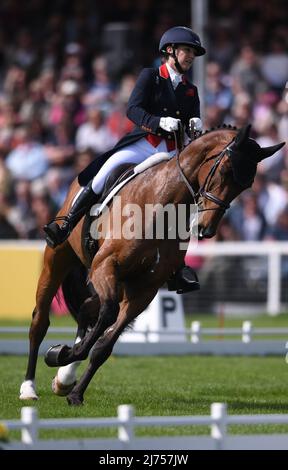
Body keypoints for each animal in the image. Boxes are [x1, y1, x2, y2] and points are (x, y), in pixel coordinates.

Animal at [19, 125, 284, 404]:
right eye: (224, 170)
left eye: (246, 185)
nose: (207, 229)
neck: (164, 204)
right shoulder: (105, 266)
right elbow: (107, 316)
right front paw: (60, 353)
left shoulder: (143, 289)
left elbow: (103, 346)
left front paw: (75, 388)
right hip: (58, 261)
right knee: (40, 322)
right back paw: (29, 388)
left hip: (119, 284)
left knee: (86, 310)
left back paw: (64, 379)